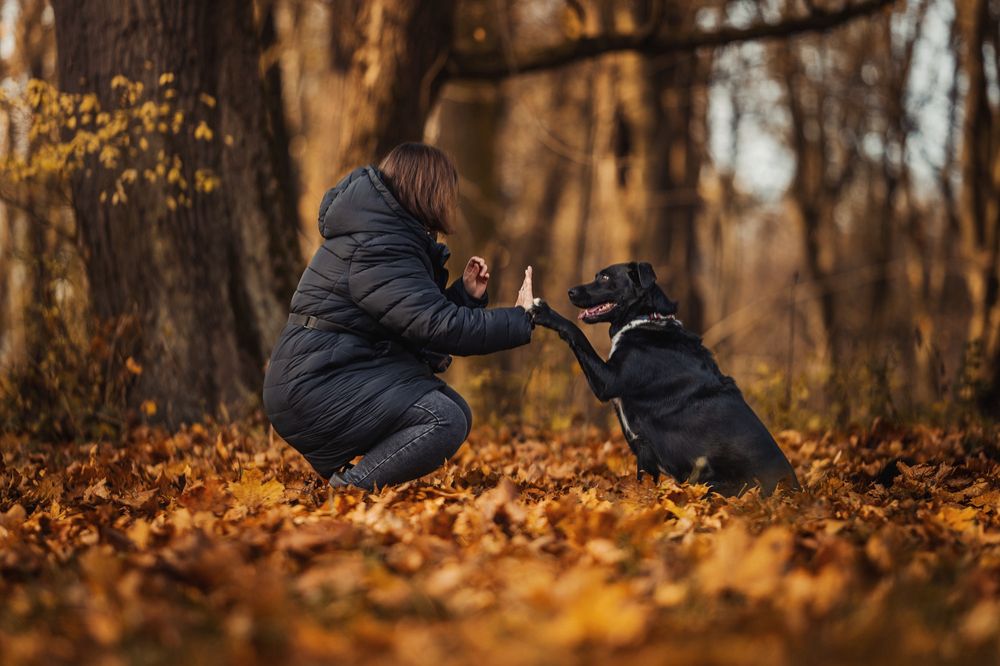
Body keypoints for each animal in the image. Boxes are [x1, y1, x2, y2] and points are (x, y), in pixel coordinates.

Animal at [536, 260, 800, 492]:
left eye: (605, 277)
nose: (570, 291)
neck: (645, 319)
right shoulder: (644, 452)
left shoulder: (608, 381)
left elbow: (576, 332)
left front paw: (544, 312)